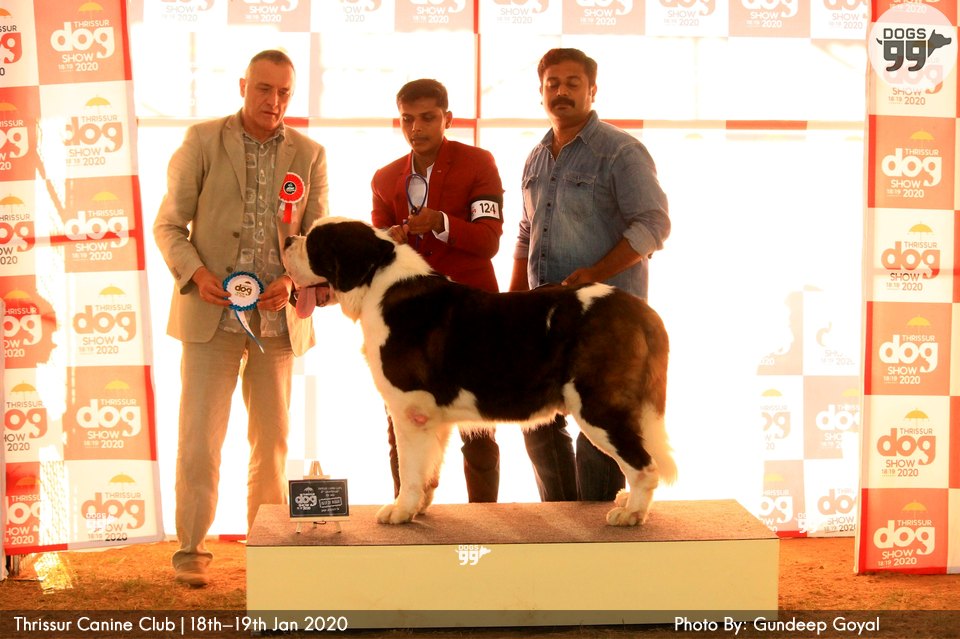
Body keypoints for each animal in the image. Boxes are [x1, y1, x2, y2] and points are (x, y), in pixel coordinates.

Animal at [282, 217, 676, 526]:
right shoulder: (432, 418)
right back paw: (628, 501)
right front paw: (419, 507)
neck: (378, 281)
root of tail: (639, 309)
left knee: (644, 464)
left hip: (596, 406)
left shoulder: (410, 410)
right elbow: (429, 467)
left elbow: (408, 468)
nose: (287, 239)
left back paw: (631, 513)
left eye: (313, 243)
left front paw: (399, 510)